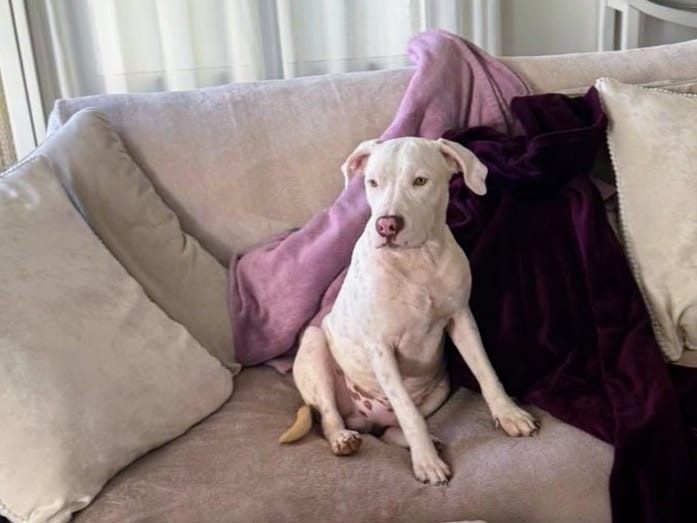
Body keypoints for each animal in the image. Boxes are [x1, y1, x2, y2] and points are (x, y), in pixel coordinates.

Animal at [279, 137, 539, 486]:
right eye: (372, 182)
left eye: (420, 181)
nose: (386, 225)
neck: (417, 261)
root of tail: (364, 420)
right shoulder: (381, 349)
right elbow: (407, 410)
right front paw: (426, 463)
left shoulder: (462, 319)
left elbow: (485, 370)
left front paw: (508, 414)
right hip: (314, 344)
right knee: (332, 416)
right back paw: (344, 439)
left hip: (439, 389)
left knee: (391, 429)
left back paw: (426, 439)